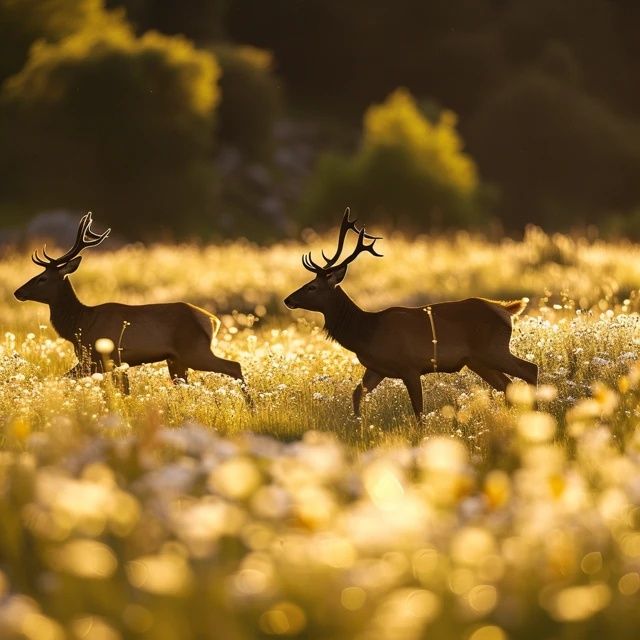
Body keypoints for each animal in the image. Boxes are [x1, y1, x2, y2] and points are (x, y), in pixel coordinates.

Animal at [15, 212, 245, 392]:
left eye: (43, 278)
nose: (18, 292)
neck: (80, 324)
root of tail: (212, 320)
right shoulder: (97, 362)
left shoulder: (107, 358)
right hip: (176, 360)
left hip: (194, 350)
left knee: (235, 365)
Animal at [282, 211, 536, 420]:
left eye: (312, 287)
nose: (288, 300)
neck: (366, 331)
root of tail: (504, 309)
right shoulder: (376, 368)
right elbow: (356, 394)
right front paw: (357, 425)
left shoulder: (410, 366)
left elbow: (418, 410)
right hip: (477, 360)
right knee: (508, 385)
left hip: (492, 349)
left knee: (529, 369)